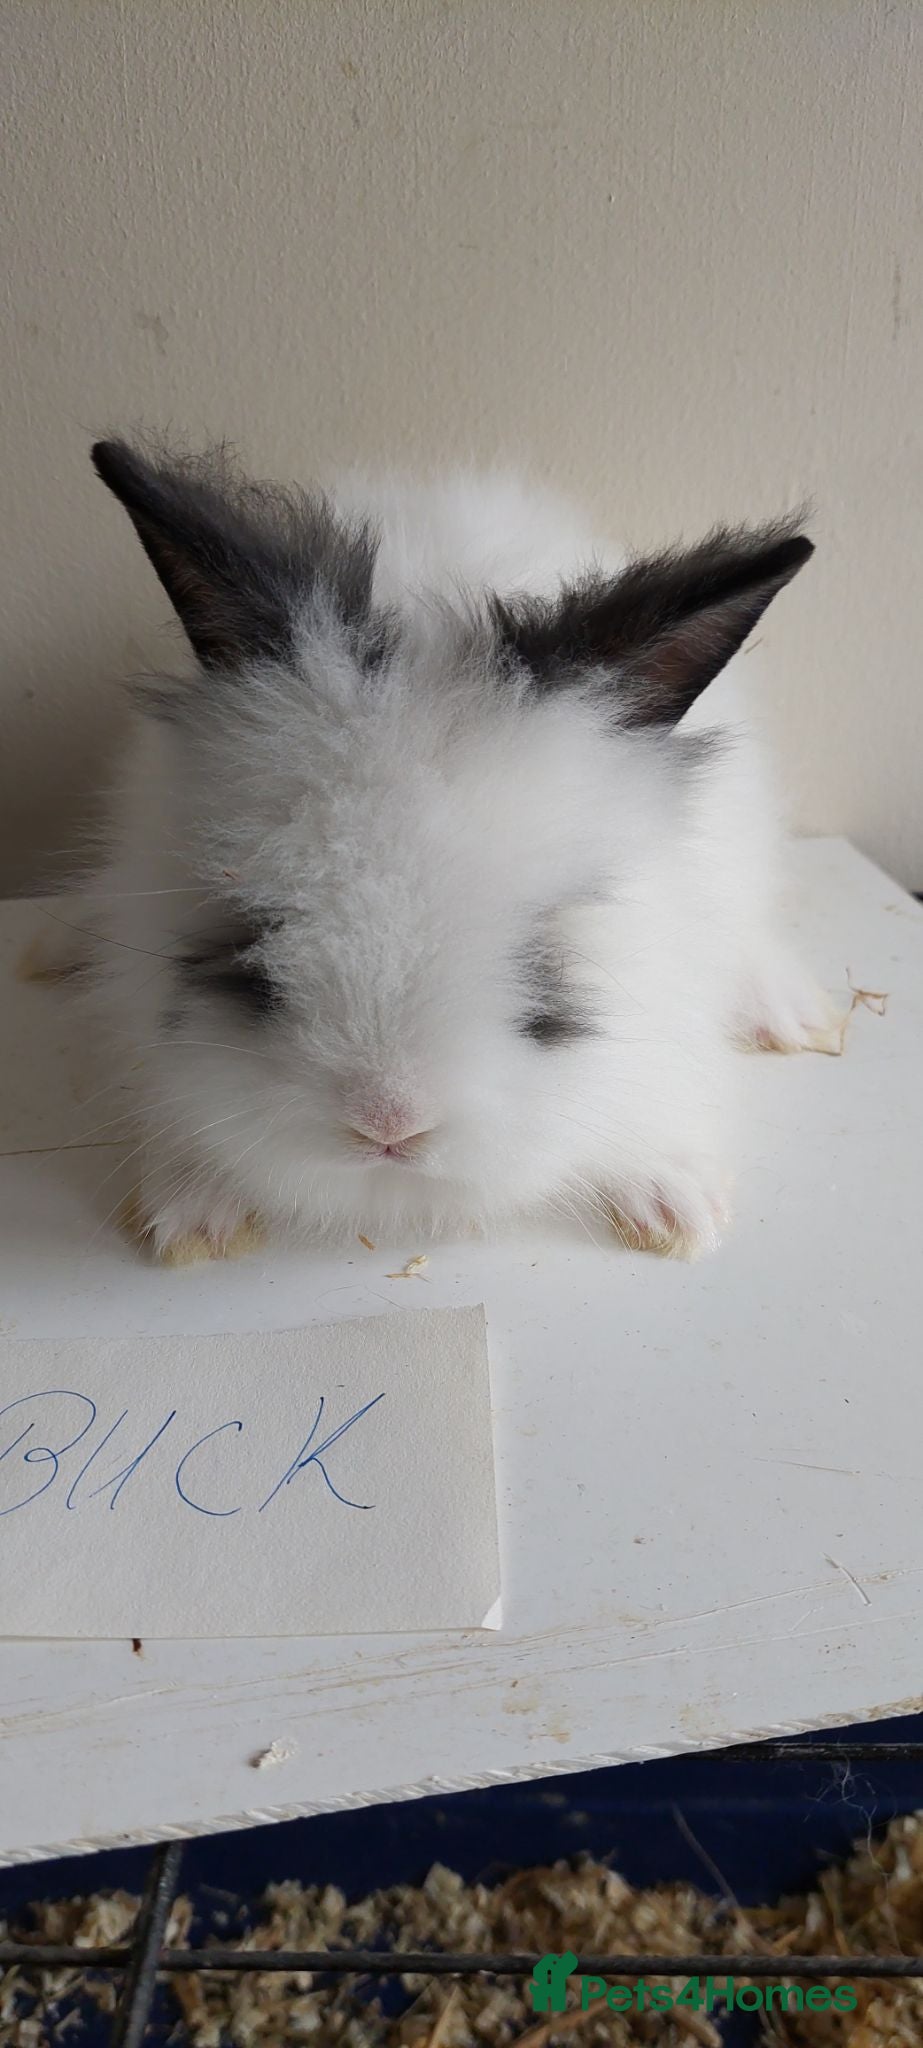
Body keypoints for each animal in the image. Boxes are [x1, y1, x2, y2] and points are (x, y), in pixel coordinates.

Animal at [52, 438, 836, 1264]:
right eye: (257, 928)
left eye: (539, 955)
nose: (388, 1125)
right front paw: (195, 1214)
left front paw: (676, 1206)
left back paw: (789, 1014)